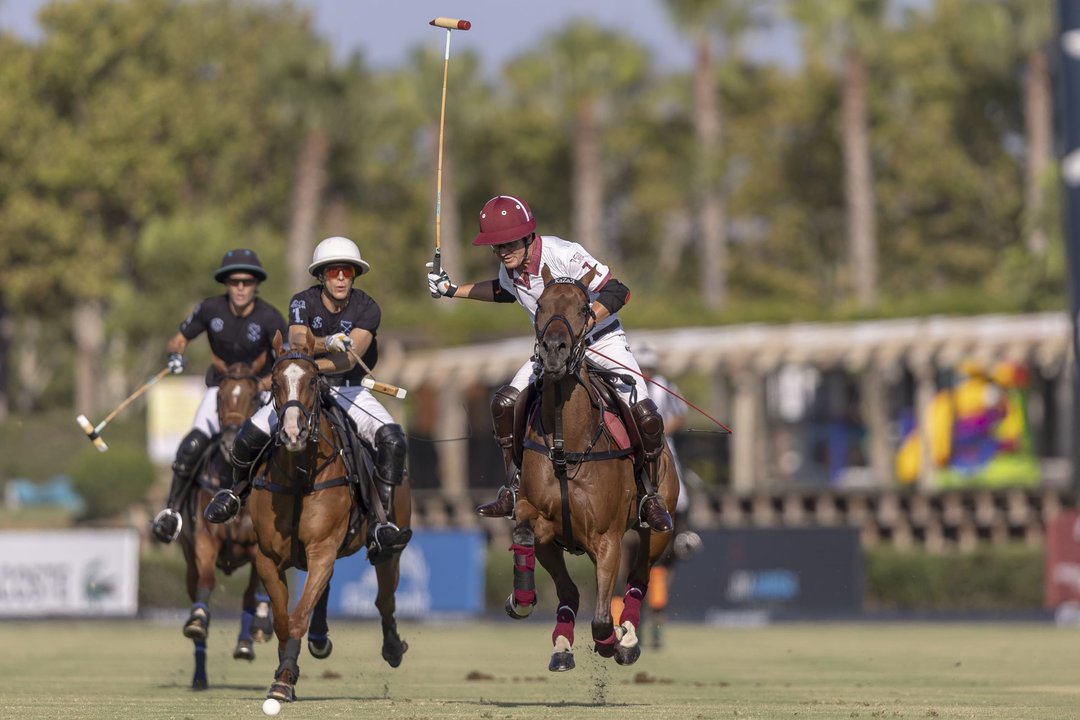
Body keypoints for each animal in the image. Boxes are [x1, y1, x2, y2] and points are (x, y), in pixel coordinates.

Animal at [176, 358, 270, 690]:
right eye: (220, 397)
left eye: (255, 398)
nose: (231, 441)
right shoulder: (205, 540)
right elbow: (206, 583)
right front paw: (197, 621)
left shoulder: (257, 546)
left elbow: (252, 594)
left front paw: (252, 634)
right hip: (188, 557)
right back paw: (199, 674)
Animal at [250, 330, 410, 703]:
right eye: (275, 382)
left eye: (312, 380)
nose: (292, 433)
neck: (299, 476)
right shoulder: (266, 557)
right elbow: (283, 621)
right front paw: (286, 674)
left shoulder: (322, 548)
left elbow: (297, 616)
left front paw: (283, 681)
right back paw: (320, 638)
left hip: (389, 548)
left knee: (384, 598)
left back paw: (393, 648)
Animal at [503, 264, 673, 669]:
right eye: (540, 306)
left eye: (583, 308)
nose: (553, 351)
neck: (568, 445)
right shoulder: (541, 523)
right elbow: (525, 536)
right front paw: (521, 599)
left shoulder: (608, 539)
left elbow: (600, 619)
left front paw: (612, 640)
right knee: (571, 592)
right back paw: (563, 645)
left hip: (658, 531)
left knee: (641, 580)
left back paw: (627, 639)